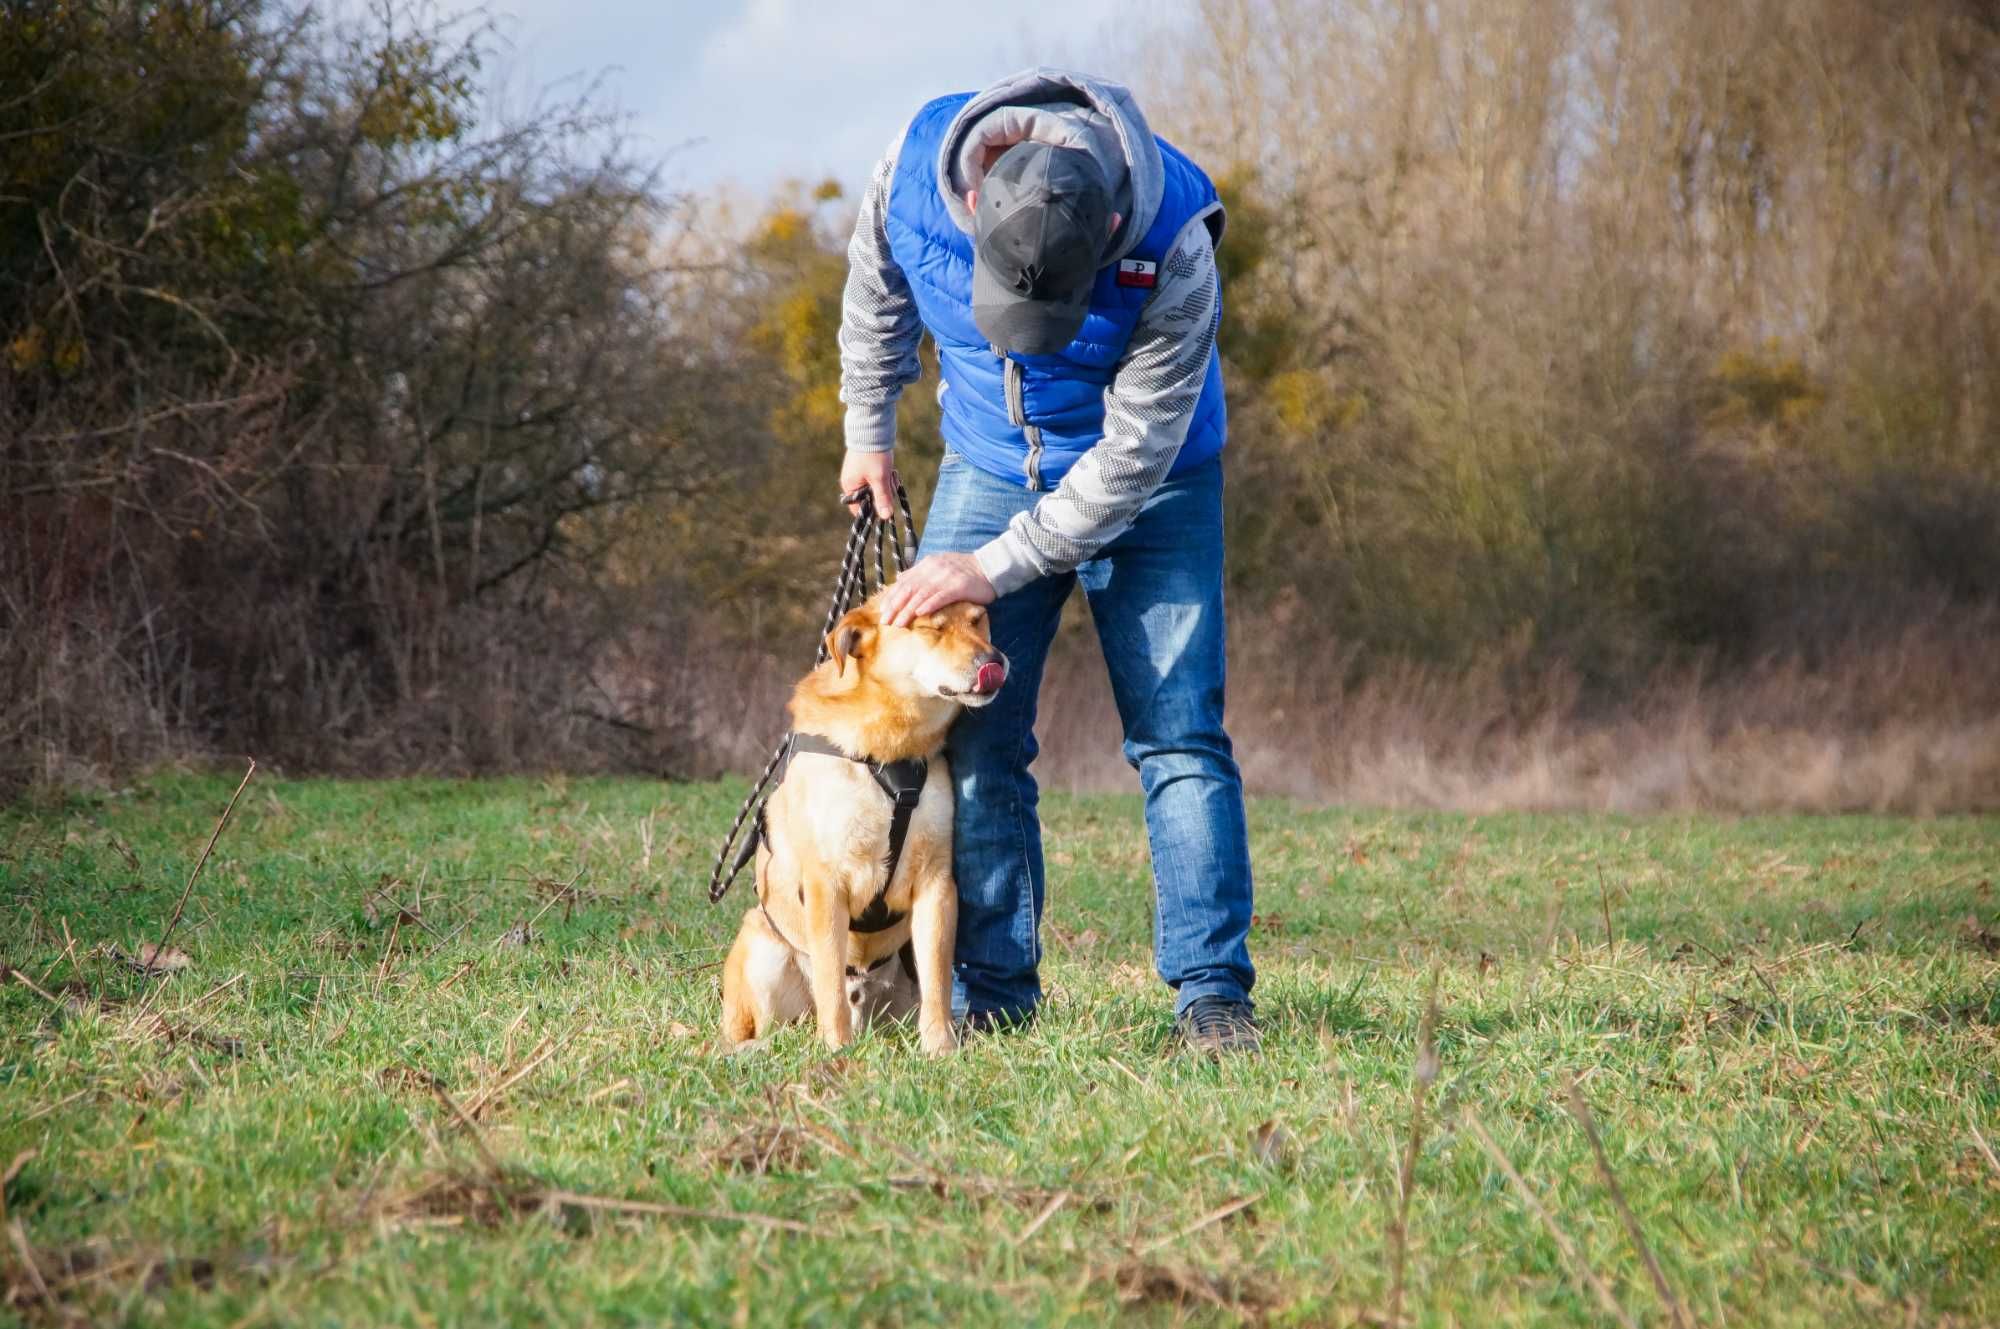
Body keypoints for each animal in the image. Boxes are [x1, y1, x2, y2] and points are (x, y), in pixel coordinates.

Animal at [720, 596, 1008, 1056]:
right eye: (931, 629)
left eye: (978, 621)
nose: (994, 661)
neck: (890, 751)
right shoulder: (826, 884)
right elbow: (830, 982)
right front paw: (836, 1048)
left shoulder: (936, 883)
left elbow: (938, 981)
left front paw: (940, 1048)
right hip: (763, 950)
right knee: (771, 1027)